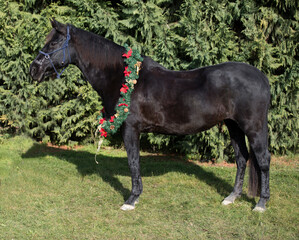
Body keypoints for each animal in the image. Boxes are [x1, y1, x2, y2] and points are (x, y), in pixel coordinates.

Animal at [30, 20, 272, 212]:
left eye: (53, 43)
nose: (34, 69)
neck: (121, 76)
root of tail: (261, 77)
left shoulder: (130, 128)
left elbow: (133, 161)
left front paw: (131, 200)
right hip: (234, 126)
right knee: (241, 158)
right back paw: (231, 198)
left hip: (253, 127)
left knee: (263, 159)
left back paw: (261, 204)